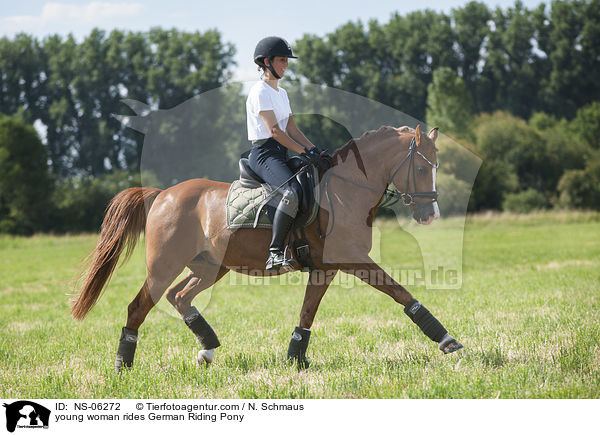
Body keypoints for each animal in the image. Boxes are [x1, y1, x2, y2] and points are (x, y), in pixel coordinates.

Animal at [71, 123, 464, 372]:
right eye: (422, 168)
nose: (431, 214)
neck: (345, 190)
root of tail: (162, 194)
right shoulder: (354, 260)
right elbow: (400, 293)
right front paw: (446, 340)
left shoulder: (325, 269)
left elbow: (307, 314)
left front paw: (295, 359)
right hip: (164, 266)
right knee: (139, 307)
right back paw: (123, 366)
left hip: (211, 267)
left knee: (179, 297)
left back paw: (207, 350)